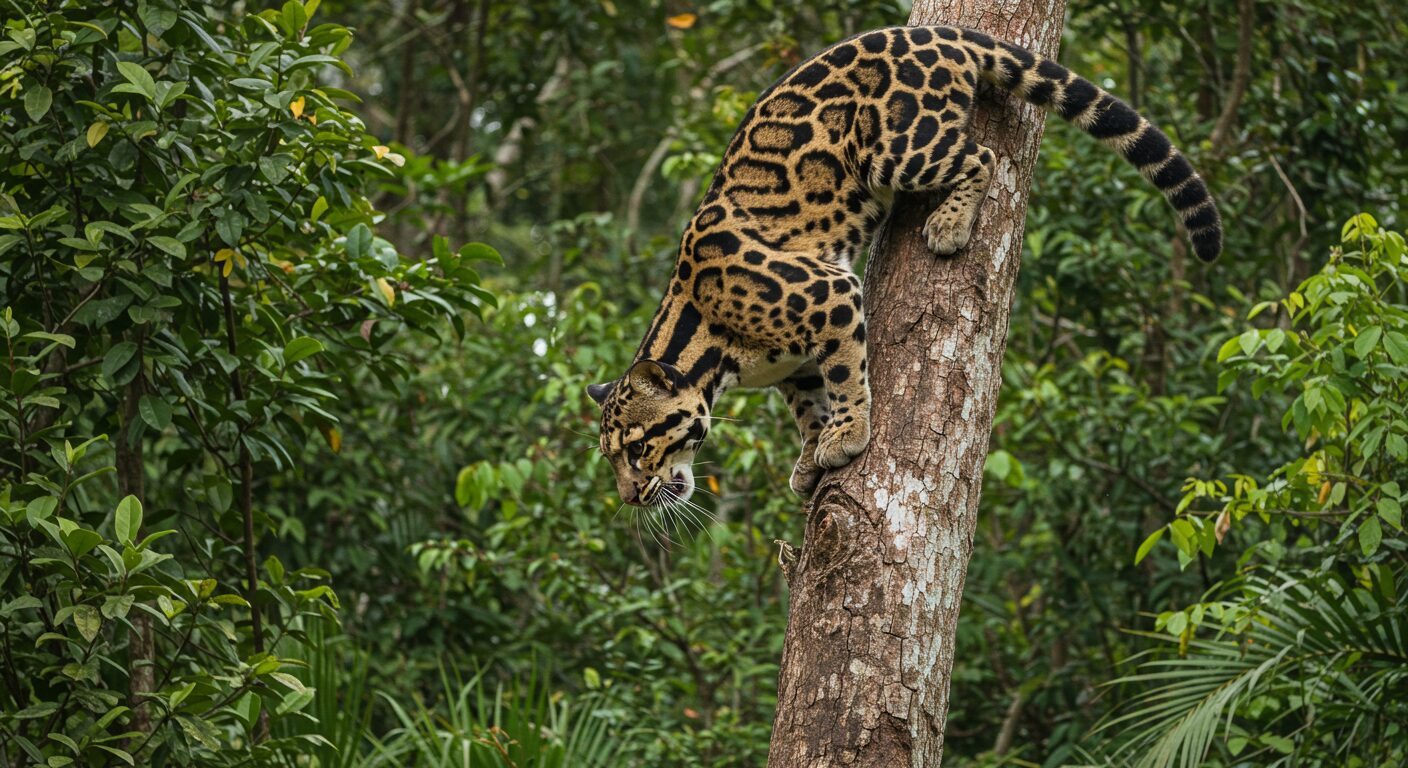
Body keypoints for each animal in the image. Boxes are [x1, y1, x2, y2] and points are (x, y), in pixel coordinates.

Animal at [582, 22, 1222, 510]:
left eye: (637, 448)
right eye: (612, 458)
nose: (631, 498)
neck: (713, 353)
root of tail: (935, 32)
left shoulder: (829, 294)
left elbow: (846, 377)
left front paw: (847, 436)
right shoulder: (794, 364)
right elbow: (809, 402)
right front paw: (811, 454)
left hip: (896, 147)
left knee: (981, 157)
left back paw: (950, 225)